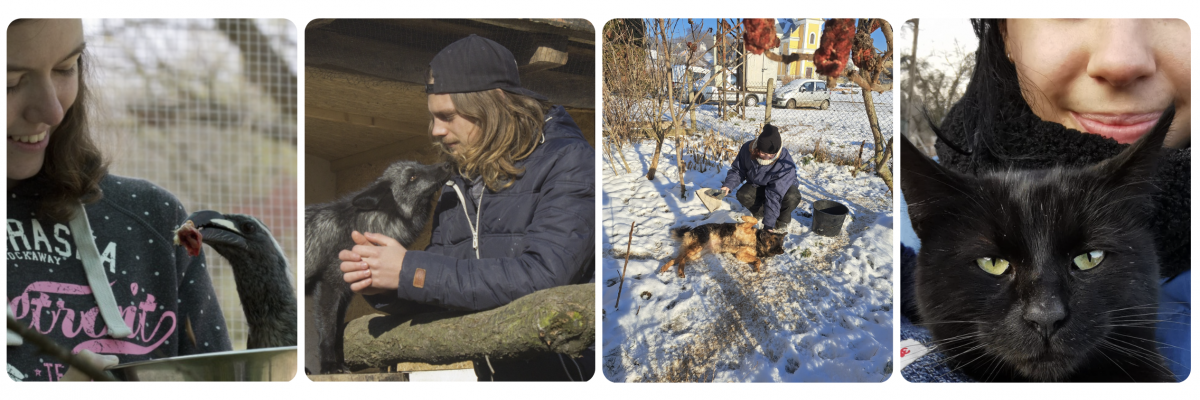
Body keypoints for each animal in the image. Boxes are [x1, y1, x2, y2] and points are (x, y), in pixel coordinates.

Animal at [657, 215, 787, 277]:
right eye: (771, 237)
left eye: (771, 242)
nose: (764, 232)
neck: (757, 242)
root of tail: (689, 231)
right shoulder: (745, 227)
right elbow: (753, 220)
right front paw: (744, 217)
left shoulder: (740, 254)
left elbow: (758, 260)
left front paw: (756, 267)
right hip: (696, 248)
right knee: (680, 259)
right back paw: (674, 270)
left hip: (695, 253)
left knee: (678, 259)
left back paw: (672, 269)